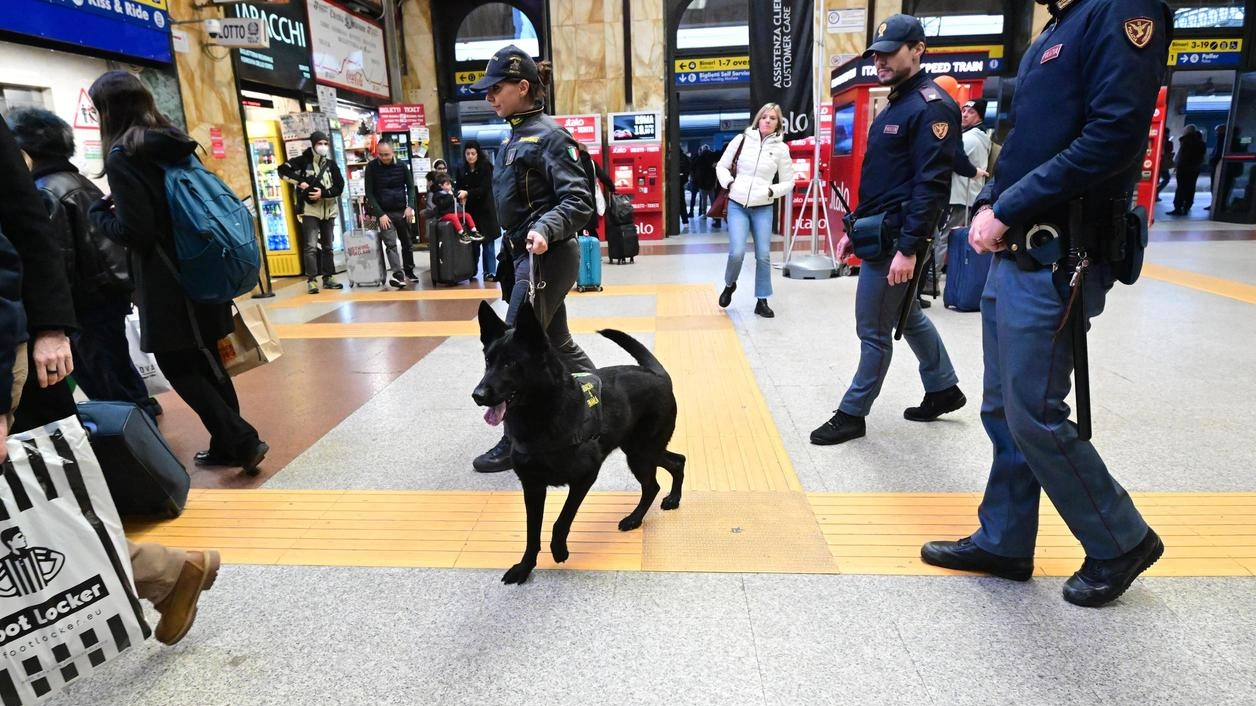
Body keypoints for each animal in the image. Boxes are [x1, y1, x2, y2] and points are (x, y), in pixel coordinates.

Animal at [472, 298, 688, 580]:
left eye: (510, 363)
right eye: (488, 361)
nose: (477, 395)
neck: (542, 416)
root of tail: (657, 373)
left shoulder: (585, 476)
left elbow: (561, 520)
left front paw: (558, 549)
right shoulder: (533, 487)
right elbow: (532, 532)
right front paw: (525, 566)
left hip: (641, 453)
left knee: (652, 485)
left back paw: (635, 518)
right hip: (640, 449)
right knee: (678, 461)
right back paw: (673, 499)